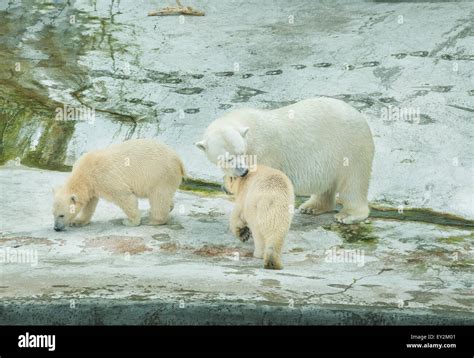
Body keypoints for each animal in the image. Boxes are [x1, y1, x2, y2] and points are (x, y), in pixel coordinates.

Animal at [52, 138, 183, 231]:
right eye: (53, 214)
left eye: (61, 215)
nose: (56, 228)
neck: (84, 173)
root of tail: (179, 160)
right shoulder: (91, 186)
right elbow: (90, 204)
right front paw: (78, 222)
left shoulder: (104, 177)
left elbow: (125, 197)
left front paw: (130, 222)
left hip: (159, 173)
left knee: (158, 197)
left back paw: (153, 220)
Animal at [195, 96, 374, 222]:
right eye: (227, 159)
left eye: (242, 152)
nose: (243, 171)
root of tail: (360, 116)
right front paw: (227, 183)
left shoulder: (264, 152)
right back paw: (311, 207)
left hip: (350, 147)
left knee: (353, 182)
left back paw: (348, 215)